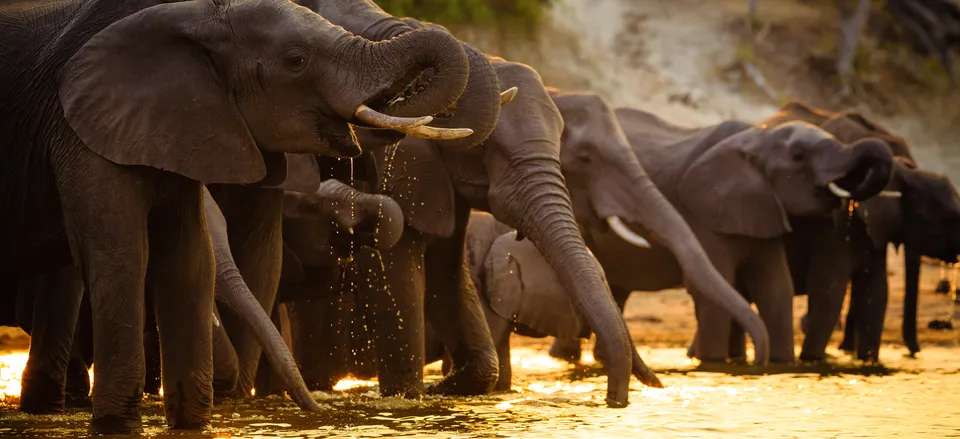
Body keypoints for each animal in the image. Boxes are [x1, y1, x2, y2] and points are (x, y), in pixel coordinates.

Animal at [0, 0, 476, 434]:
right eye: (296, 60)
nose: (318, 411)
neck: (193, 15)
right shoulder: (79, 132)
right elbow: (121, 259)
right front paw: (118, 427)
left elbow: (191, 262)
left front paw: (191, 426)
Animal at [756, 101, 960, 362]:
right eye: (939, 220)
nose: (916, 353)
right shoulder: (834, 226)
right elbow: (829, 288)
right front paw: (814, 359)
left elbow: (876, 289)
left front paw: (866, 360)